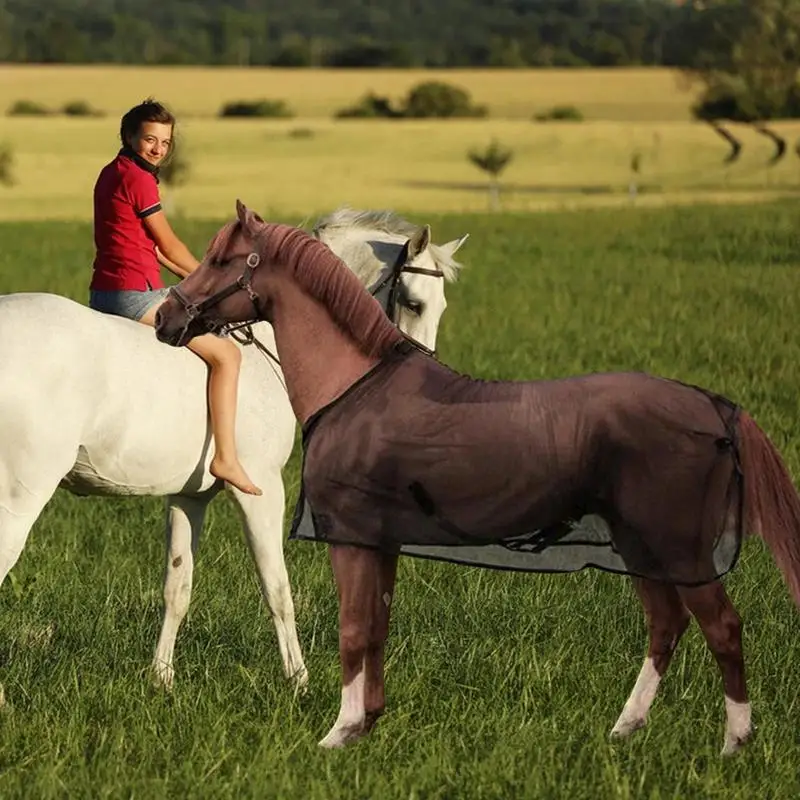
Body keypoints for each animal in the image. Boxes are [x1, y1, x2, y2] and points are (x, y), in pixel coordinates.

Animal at [0, 209, 468, 692]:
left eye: (442, 307)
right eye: (414, 304)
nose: (417, 378)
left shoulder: (189, 497)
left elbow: (178, 585)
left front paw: (162, 678)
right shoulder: (262, 491)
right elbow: (277, 587)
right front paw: (298, 680)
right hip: (20, 497)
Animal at [153, 202, 800, 756]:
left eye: (221, 259)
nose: (166, 316)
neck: (358, 386)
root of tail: (717, 409)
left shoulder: (350, 538)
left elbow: (352, 629)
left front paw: (338, 732)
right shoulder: (380, 542)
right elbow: (375, 626)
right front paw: (366, 723)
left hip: (677, 549)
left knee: (722, 628)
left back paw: (733, 744)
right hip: (643, 547)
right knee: (666, 626)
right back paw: (625, 729)